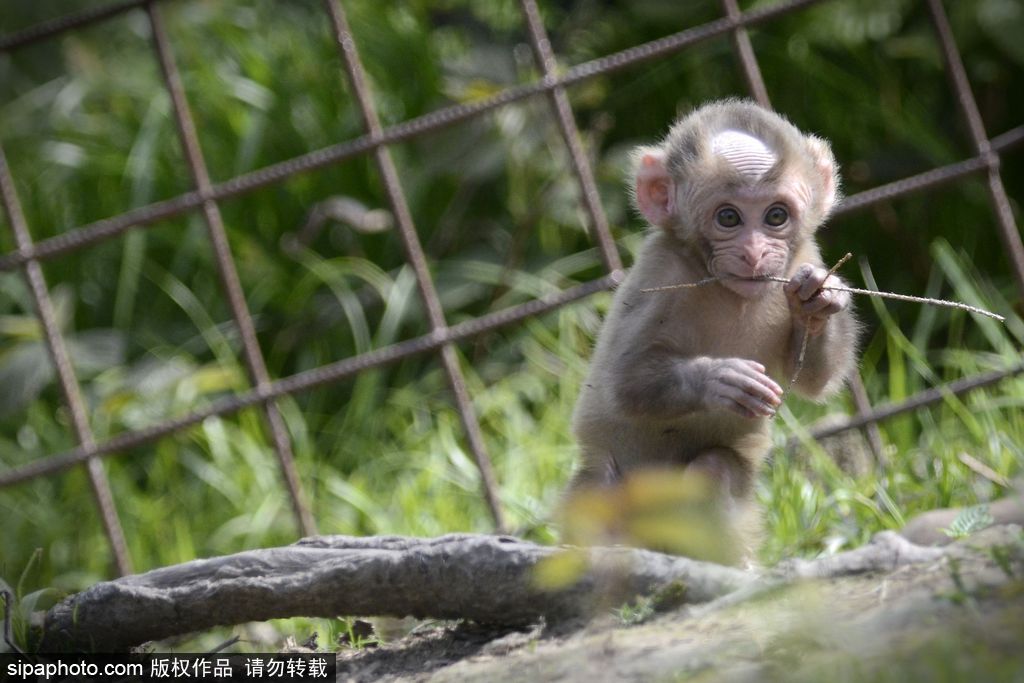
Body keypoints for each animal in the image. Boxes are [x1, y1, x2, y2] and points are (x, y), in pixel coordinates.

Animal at [573, 98, 860, 565]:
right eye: (728, 217)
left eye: (776, 216)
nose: (754, 253)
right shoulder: (661, 273)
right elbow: (623, 382)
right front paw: (720, 379)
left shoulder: (804, 254)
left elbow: (816, 381)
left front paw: (819, 299)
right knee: (597, 496)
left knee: (716, 469)